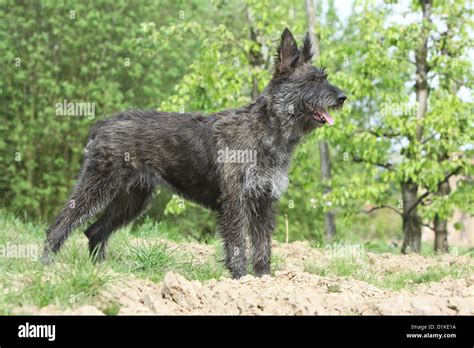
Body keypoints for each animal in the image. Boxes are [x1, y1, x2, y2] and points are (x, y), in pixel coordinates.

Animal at [42, 28, 346, 278]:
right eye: (312, 80)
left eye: (325, 77)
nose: (343, 97)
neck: (267, 131)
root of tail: (104, 123)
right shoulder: (235, 200)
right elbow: (238, 244)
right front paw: (241, 280)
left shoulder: (264, 200)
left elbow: (262, 246)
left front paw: (264, 279)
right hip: (97, 186)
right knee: (60, 225)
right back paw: (46, 268)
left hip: (132, 199)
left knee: (94, 231)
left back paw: (102, 272)